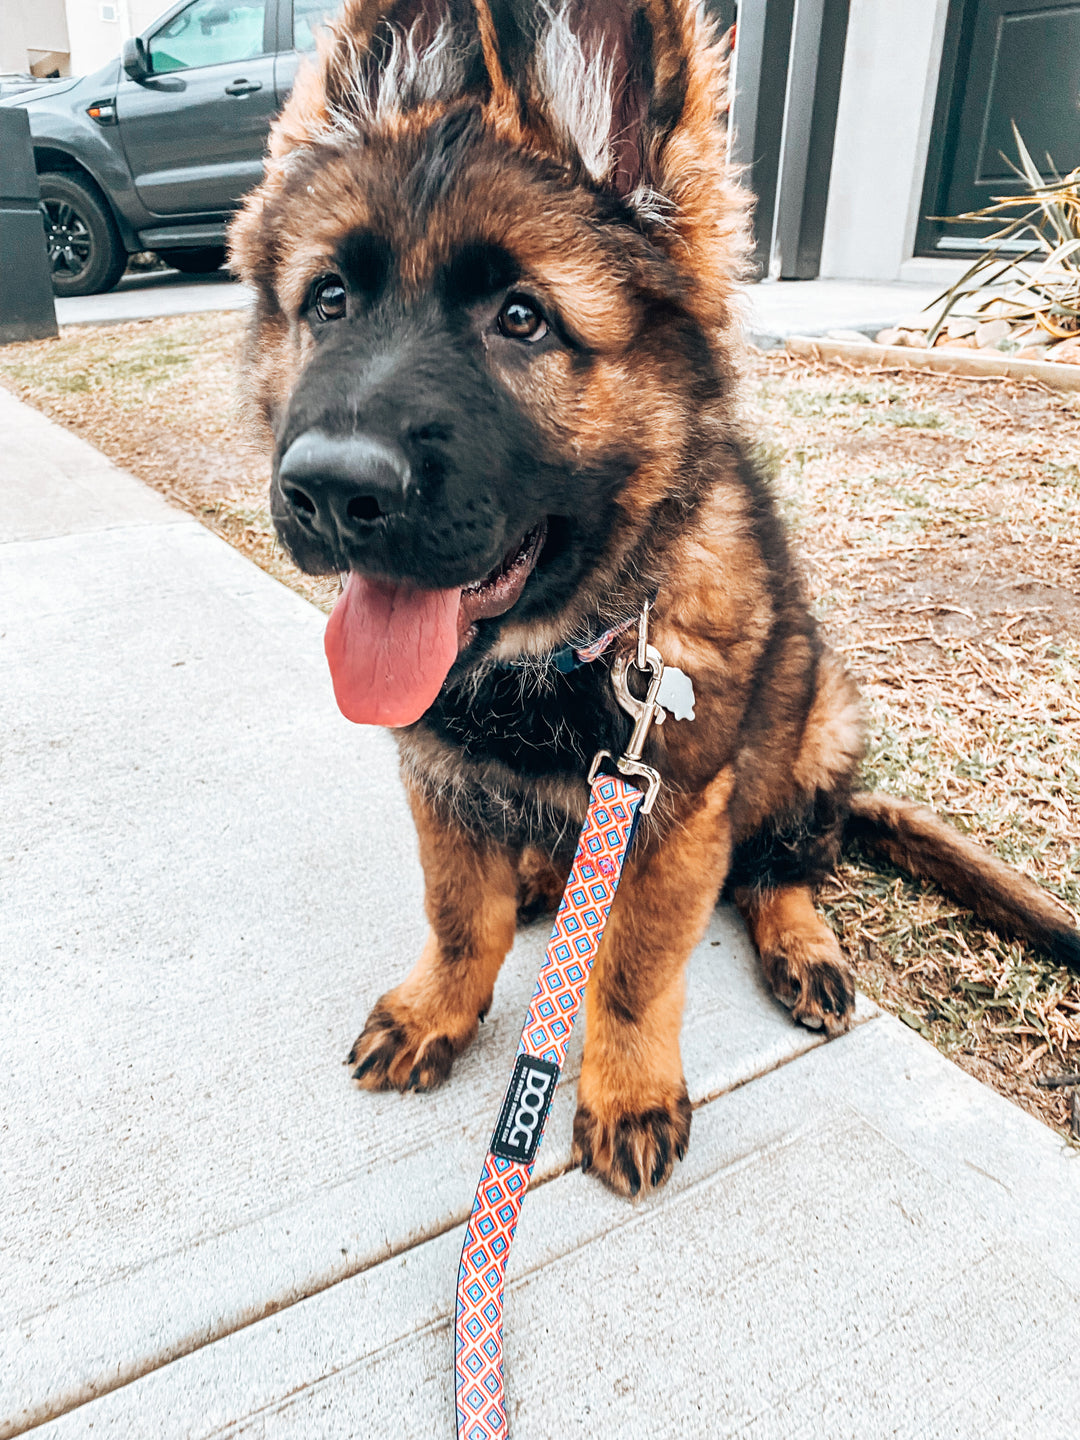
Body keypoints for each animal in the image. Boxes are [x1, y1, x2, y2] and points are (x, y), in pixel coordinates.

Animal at [226, 0, 1077, 1198]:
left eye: (523, 320)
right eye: (329, 302)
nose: (329, 492)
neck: (565, 646)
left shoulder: (676, 814)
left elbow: (630, 968)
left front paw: (626, 1091)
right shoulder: (439, 778)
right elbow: (458, 915)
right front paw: (440, 1007)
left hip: (818, 724)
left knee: (785, 869)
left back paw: (803, 946)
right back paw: (544, 874)